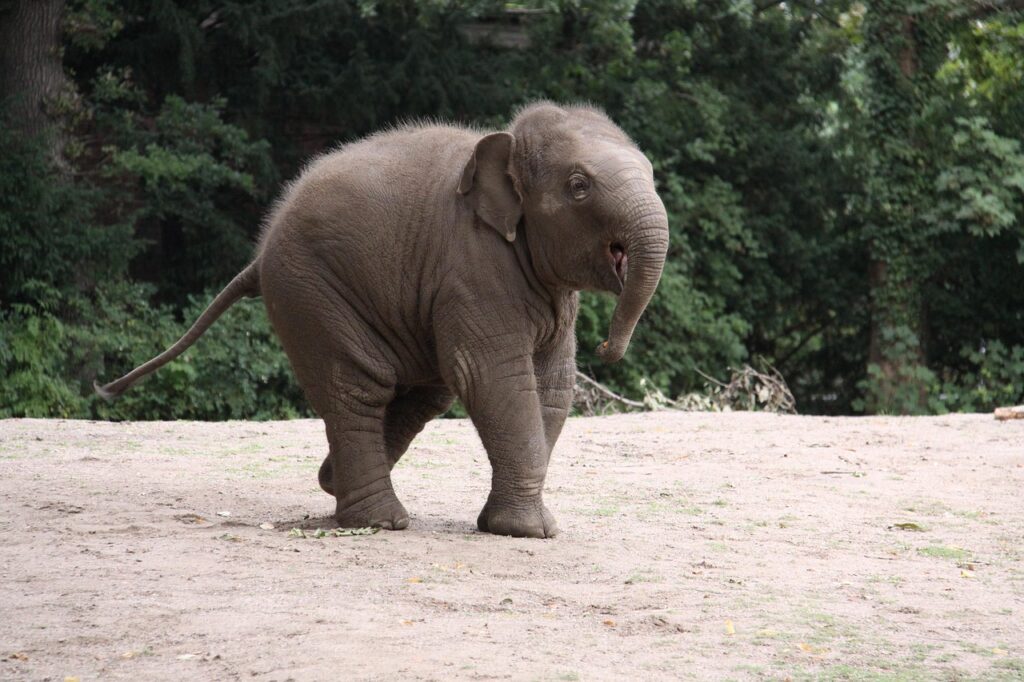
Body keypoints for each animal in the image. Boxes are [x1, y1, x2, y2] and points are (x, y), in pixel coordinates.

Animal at [95, 102, 670, 538]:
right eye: (579, 185)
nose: (607, 349)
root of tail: (259, 256)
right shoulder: (471, 268)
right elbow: (496, 378)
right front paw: (529, 531)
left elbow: (552, 387)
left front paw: (512, 526)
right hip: (310, 292)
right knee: (358, 387)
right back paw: (380, 522)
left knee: (421, 393)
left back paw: (332, 481)